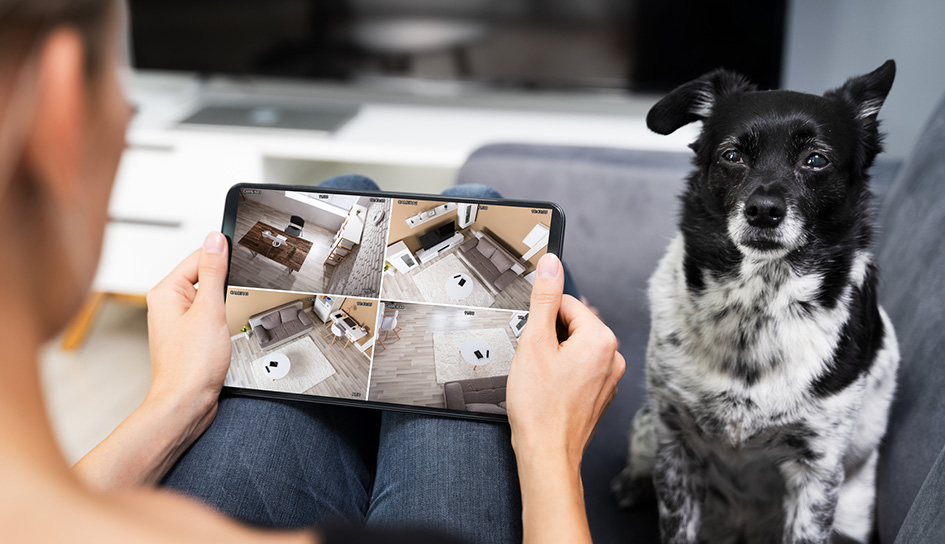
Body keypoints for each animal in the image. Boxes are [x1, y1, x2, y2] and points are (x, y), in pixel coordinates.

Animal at [612, 60, 900, 544]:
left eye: (816, 159)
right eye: (732, 155)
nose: (764, 210)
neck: (758, 302)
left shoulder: (816, 472)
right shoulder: (676, 448)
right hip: (648, 427)